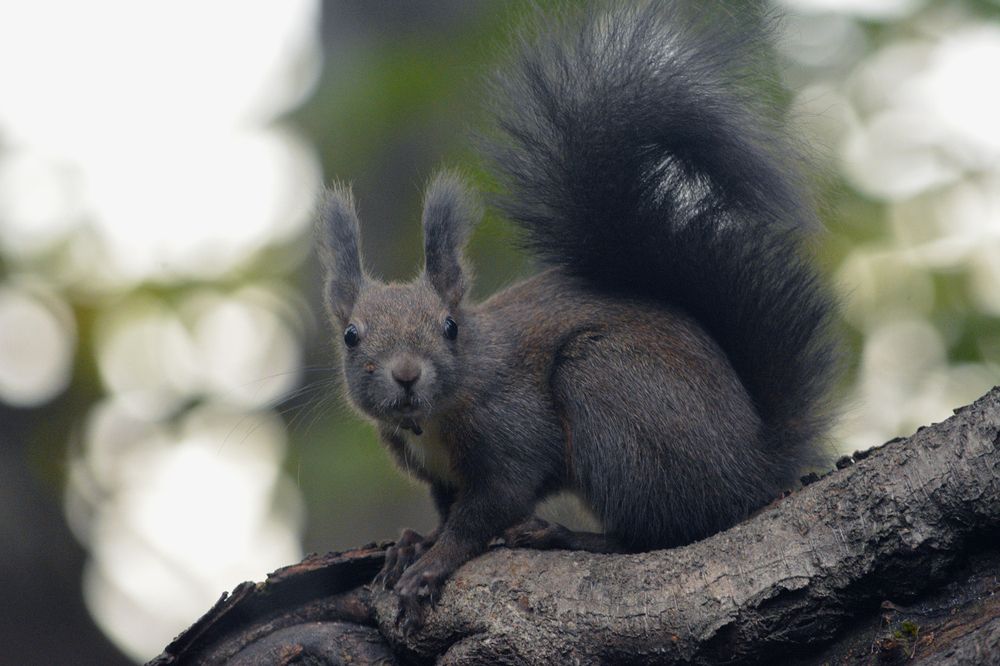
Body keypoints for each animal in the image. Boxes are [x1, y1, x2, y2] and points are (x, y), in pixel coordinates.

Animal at [317, 0, 839, 629]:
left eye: (449, 326)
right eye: (350, 336)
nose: (406, 375)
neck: (434, 419)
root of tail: (758, 465)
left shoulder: (515, 432)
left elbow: (490, 506)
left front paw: (433, 563)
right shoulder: (439, 472)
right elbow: (448, 509)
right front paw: (414, 544)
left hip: (607, 388)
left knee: (665, 532)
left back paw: (565, 537)